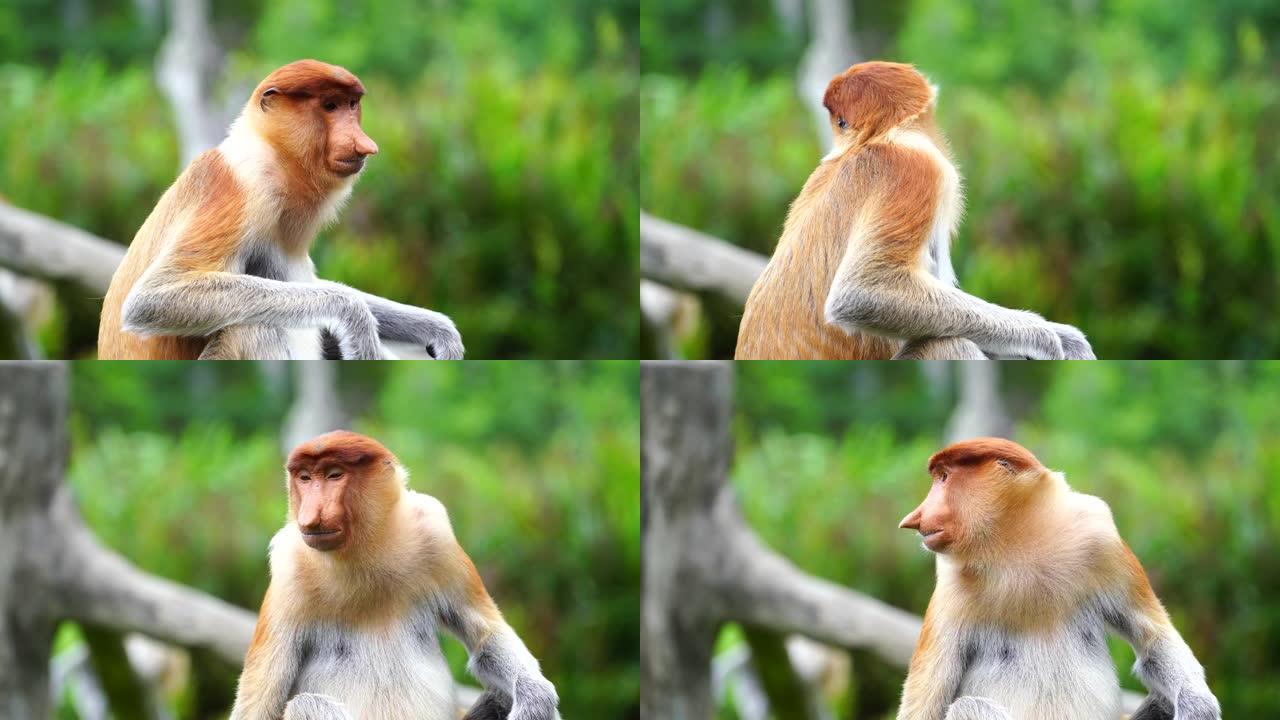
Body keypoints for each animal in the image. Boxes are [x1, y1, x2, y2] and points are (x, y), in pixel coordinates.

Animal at [98, 57, 465, 358]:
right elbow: (151, 298)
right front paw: (355, 319)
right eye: (329, 105)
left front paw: (440, 331)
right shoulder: (244, 186)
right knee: (251, 327)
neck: (273, 152)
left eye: (351, 105)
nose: (365, 145)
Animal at [229, 427, 555, 712]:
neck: (363, 551)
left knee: (500, 694)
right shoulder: (288, 569)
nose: (310, 516)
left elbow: (486, 639)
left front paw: (535, 697)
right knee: (307, 704)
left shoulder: (435, 533)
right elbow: (260, 705)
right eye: (305, 478)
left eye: (335, 475)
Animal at [901, 435, 1218, 712]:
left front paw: (1197, 706)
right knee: (969, 706)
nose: (912, 519)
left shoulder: (1100, 537)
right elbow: (925, 705)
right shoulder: (950, 589)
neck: (1015, 543)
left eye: (944, 477)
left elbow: (1154, 640)